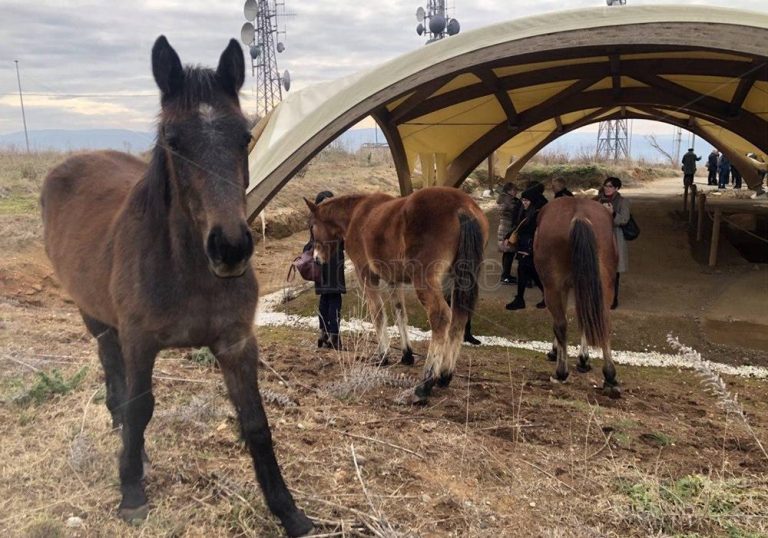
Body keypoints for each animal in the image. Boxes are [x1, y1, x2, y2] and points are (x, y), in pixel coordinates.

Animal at [39, 35, 312, 532]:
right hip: (95, 317)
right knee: (113, 372)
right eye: (172, 140)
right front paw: (131, 490)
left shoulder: (236, 343)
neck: (188, 272)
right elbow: (140, 407)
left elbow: (255, 421)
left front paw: (288, 510)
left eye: (245, 137)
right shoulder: (140, 340)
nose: (230, 248)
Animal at [304, 186, 488, 400]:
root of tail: (462, 207)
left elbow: (378, 313)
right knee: (459, 318)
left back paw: (425, 384)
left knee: (441, 317)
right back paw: (444, 375)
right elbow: (400, 314)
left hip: (425, 281)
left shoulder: (366, 276)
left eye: (312, 226)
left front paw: (383, 355)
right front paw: (406, 354)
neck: (356, 215)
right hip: (457, 281)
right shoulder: (394, 281)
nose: (316, 259)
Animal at [536, 197, 620, 398]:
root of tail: (579, 214)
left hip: (552, 287)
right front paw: (583, 359)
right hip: (604, 283)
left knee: (560, 324)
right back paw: (610, 377)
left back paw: (561, 372)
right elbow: (585, 319)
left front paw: (556, 352)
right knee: (602, 321)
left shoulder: (563, 287)